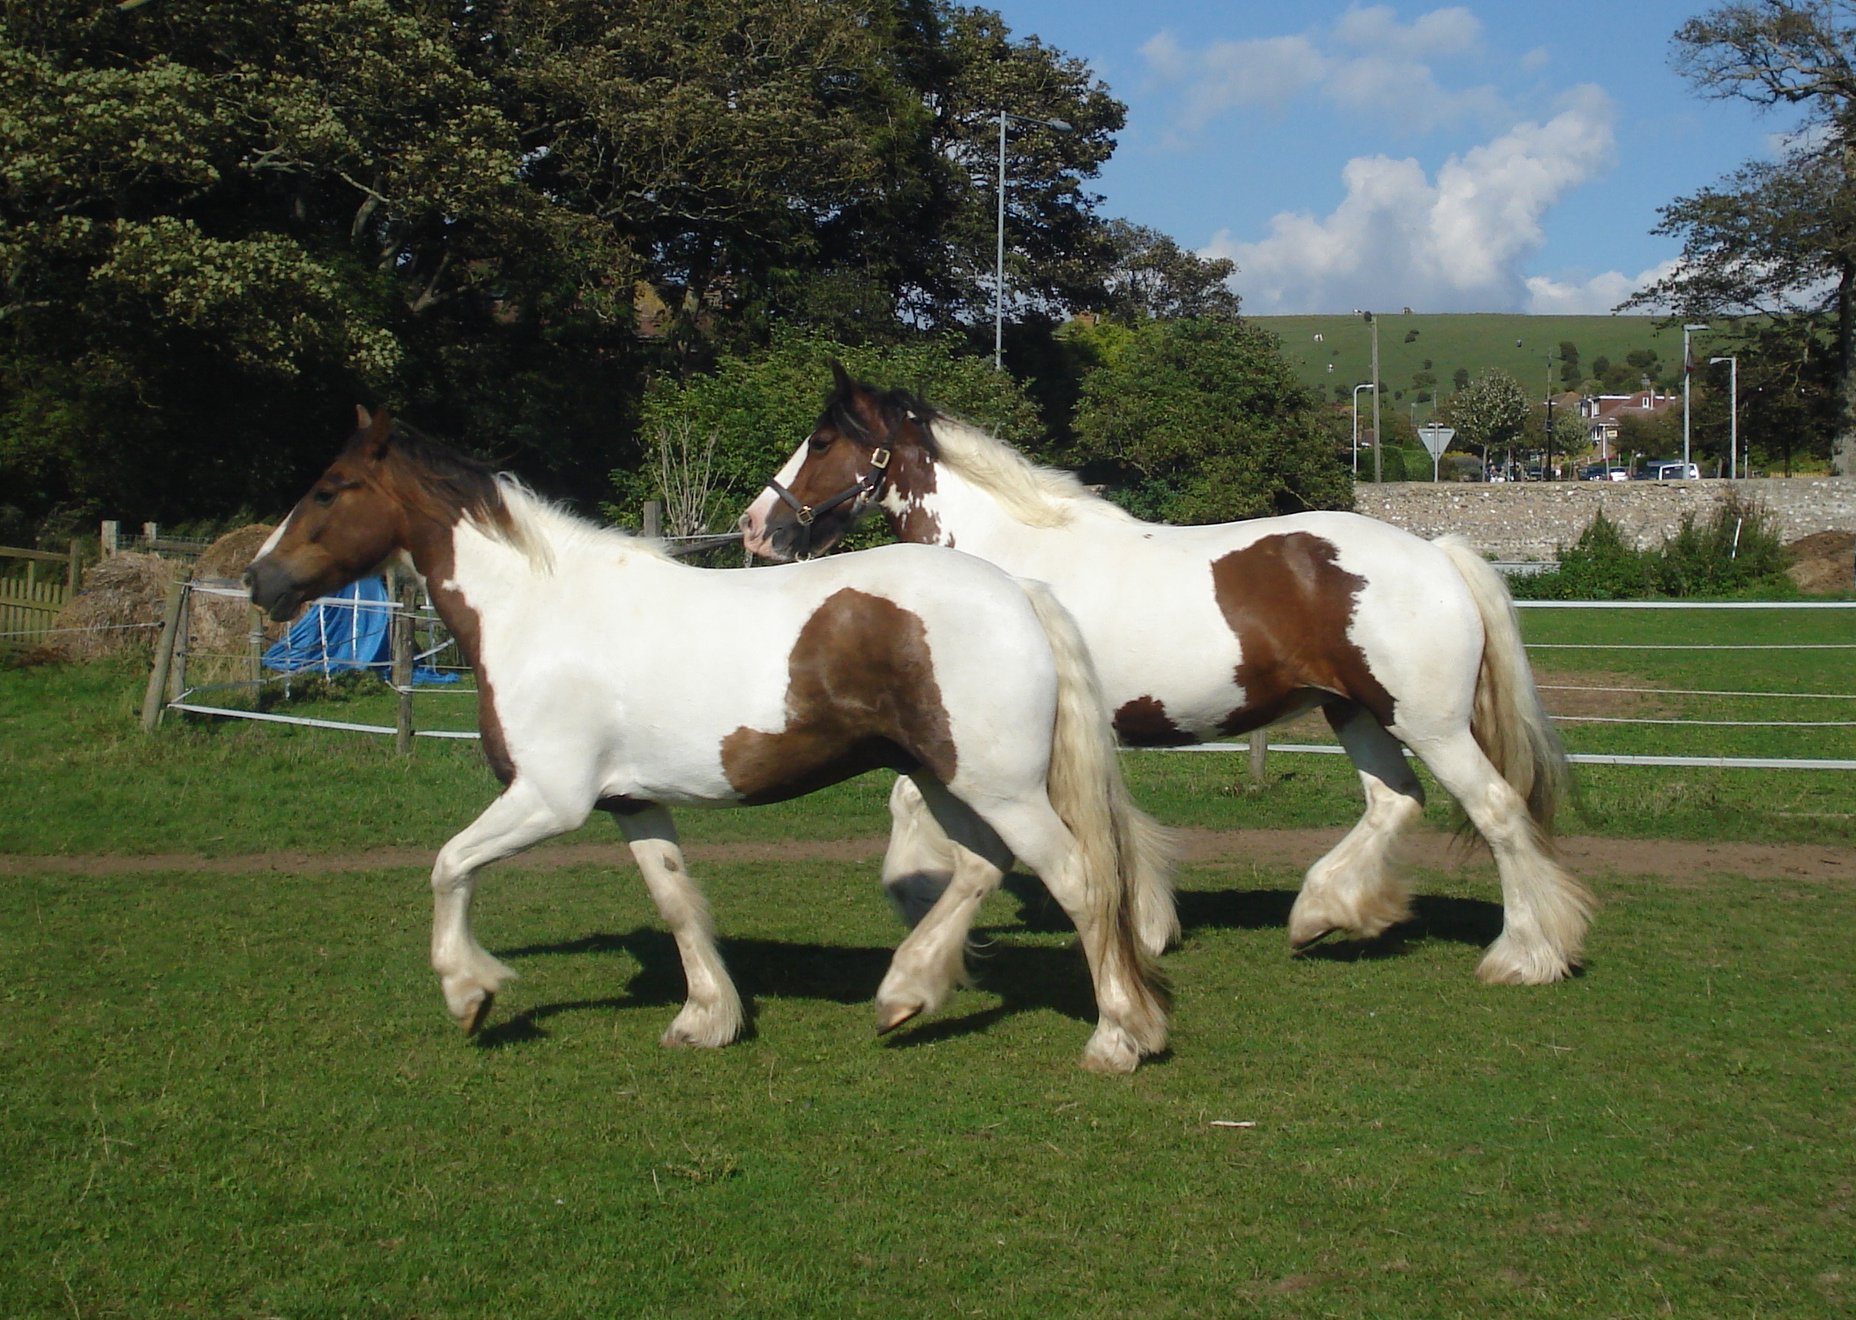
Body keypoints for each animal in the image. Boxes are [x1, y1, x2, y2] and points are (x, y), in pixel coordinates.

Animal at [244, 407, 1172, 1073]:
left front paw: (469, 993)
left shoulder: (546, 799)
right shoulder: (630, 800)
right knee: (983, 867)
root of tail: (1018, 589)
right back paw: (906, 993)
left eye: (329, 489)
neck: (538, 610)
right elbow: (675, 899)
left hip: (1000, 786)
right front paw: (705, 1018)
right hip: (951, 777)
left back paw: (1117, 1038)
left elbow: (448, 866)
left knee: (1080, 881)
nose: (259, 579)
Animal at [738, 366, 1596, 985]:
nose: (756, 529)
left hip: (1429, 722)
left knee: (1496, 810)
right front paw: (1146, 923)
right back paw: (1323, 912)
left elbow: (918, 803)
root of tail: (1439, 553)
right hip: (1352, 712)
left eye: (822, 441)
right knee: (1395, 800)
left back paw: (1526, 956)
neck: (1011, 560)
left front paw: (918, 896)